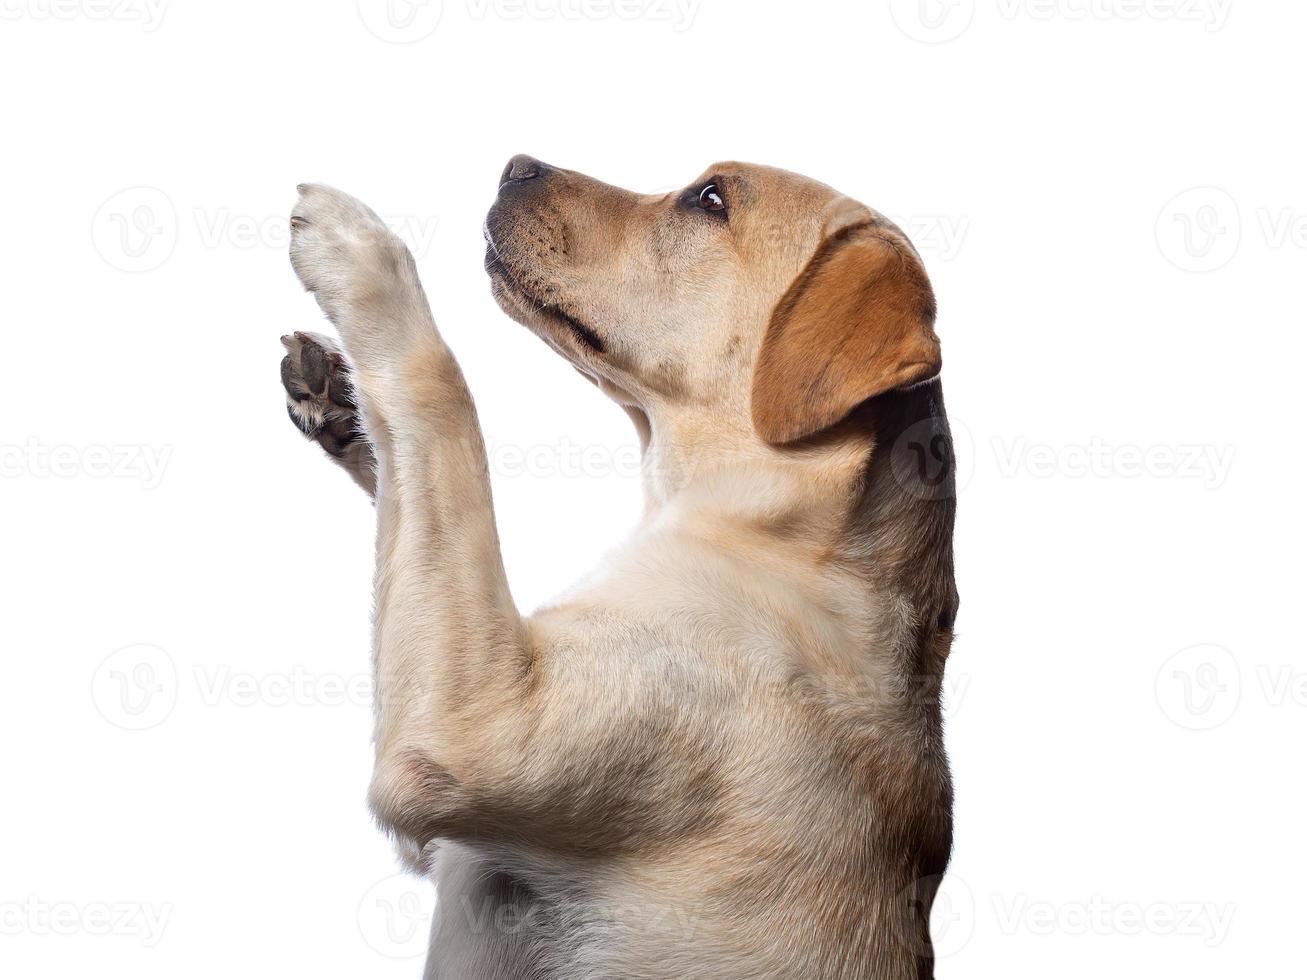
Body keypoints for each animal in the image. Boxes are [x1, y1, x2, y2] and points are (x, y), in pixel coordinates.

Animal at [281, 157, 961, 977]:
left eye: (710, 198)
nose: (514, 166)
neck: (786, 536)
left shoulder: (473, 722)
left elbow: (442, 404)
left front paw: (362, 248)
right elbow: (410, 471)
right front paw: (338, 397)